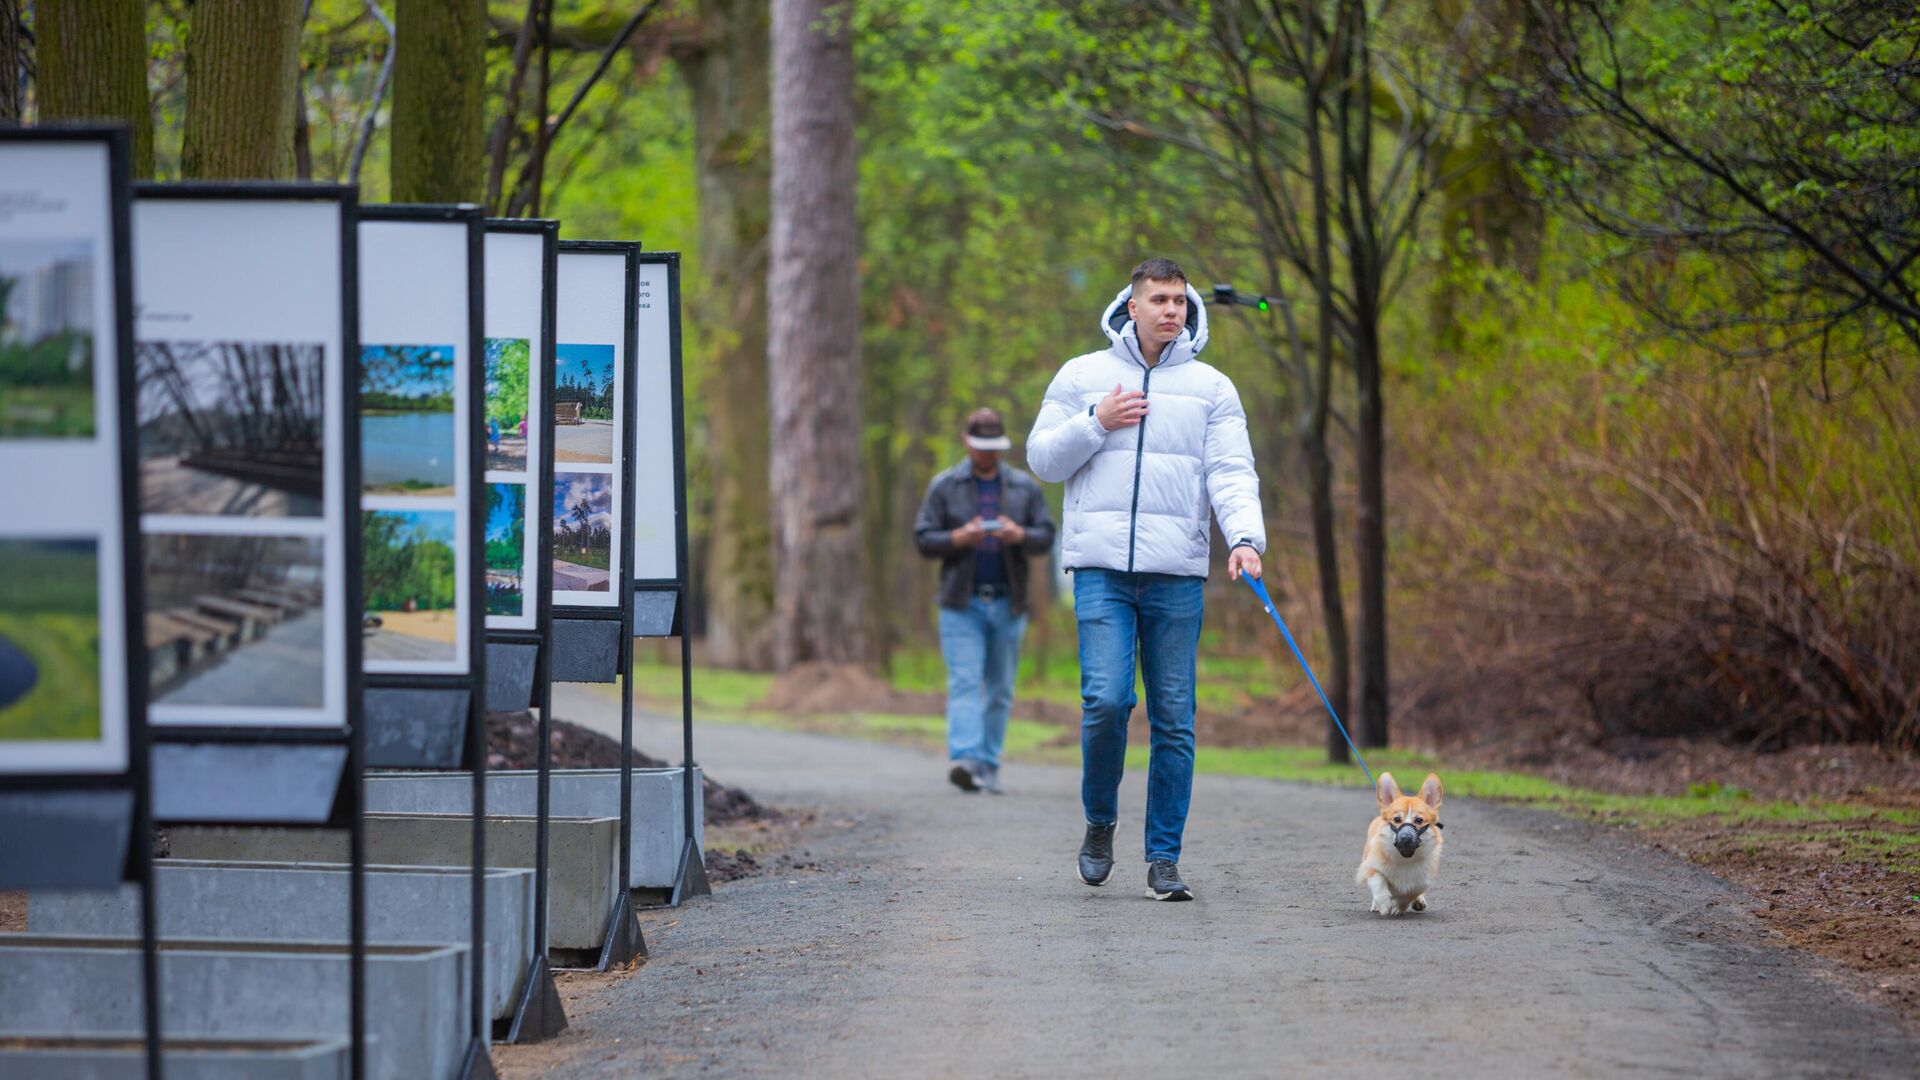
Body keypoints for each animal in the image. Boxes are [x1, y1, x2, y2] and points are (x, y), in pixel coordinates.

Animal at [1351, 768, 1443, 910]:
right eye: (1397, 819)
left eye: (1419, 820)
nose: (1406, 837)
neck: (1405, 858)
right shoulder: (1371, 867)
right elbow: (1379, 883)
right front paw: (1383, 903)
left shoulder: (1423, 880)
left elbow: (1412, 891)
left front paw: (1398, 907)